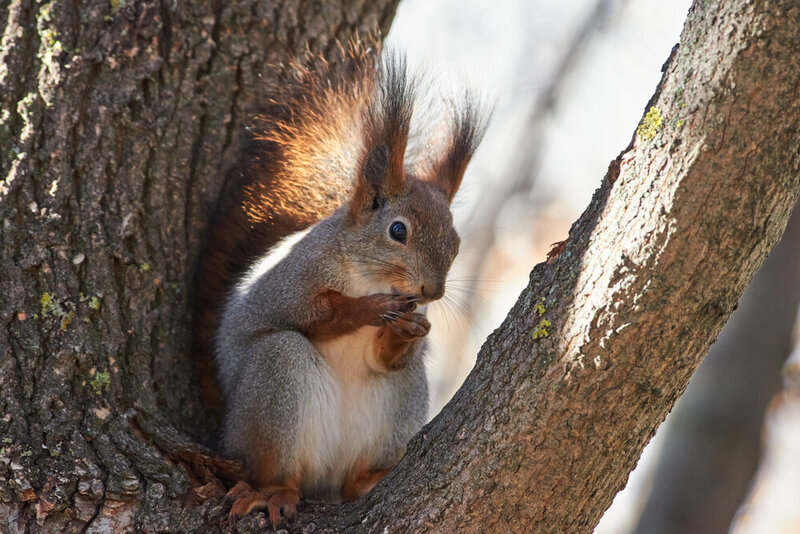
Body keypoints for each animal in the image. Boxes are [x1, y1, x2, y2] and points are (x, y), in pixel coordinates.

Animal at [191, 41, 485, 525]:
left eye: (457, 242)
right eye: (398, 231)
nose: (432, 292)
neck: (367, 277)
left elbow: (388, 355)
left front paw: (407, 331)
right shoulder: (290, 283)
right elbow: (315, 314)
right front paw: (367, 310)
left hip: (400, 403)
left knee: (355, 473)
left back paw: (368, 480)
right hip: (273, 384)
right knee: (279, 464)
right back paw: (273, 492)